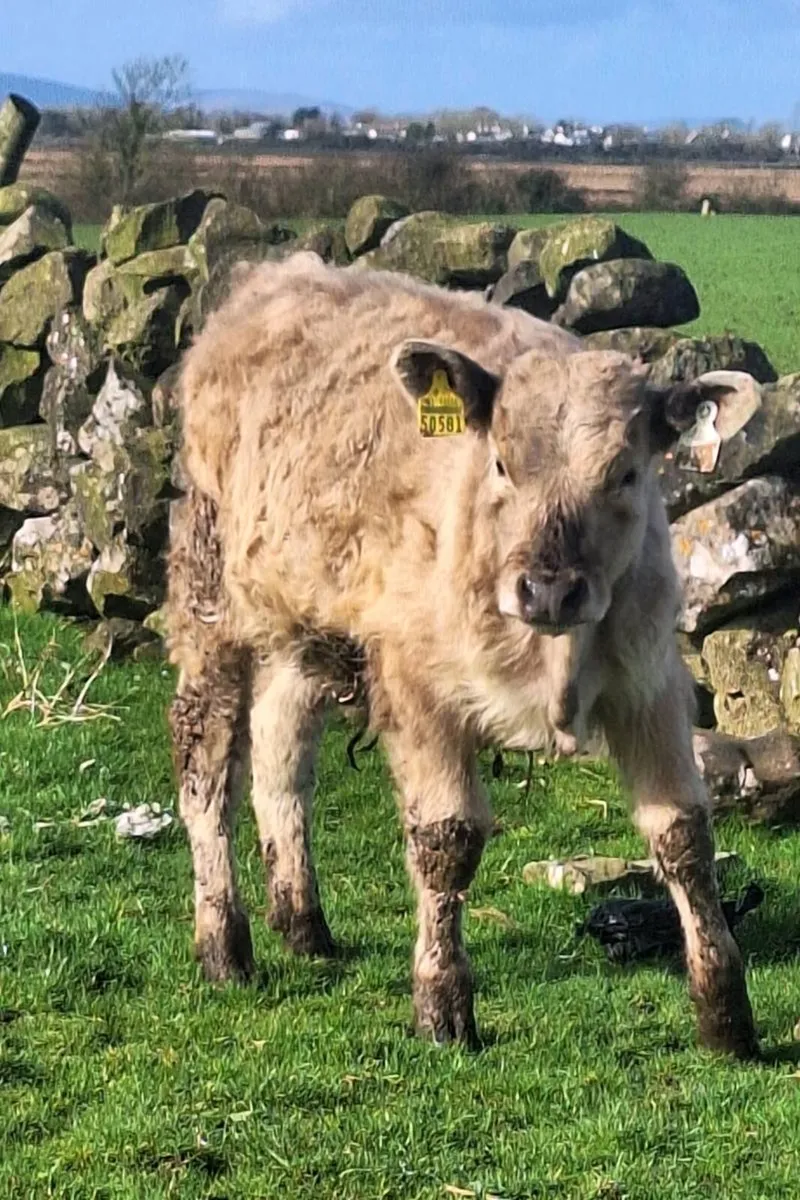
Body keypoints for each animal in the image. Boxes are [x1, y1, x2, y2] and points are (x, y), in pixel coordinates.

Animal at [165, 252, 759, 1059]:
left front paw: (726, 1014)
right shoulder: (417, 687)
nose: (548, 589)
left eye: (626, 474)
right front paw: (441, 1004)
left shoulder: (651, 684)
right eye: (501, 464)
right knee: (205, 764)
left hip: (311, 625)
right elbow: (446, 841)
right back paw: (223, 943)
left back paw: (303, 924)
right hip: (213, 593)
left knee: (282, 756)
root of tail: (274, 276)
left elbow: (684, 836)